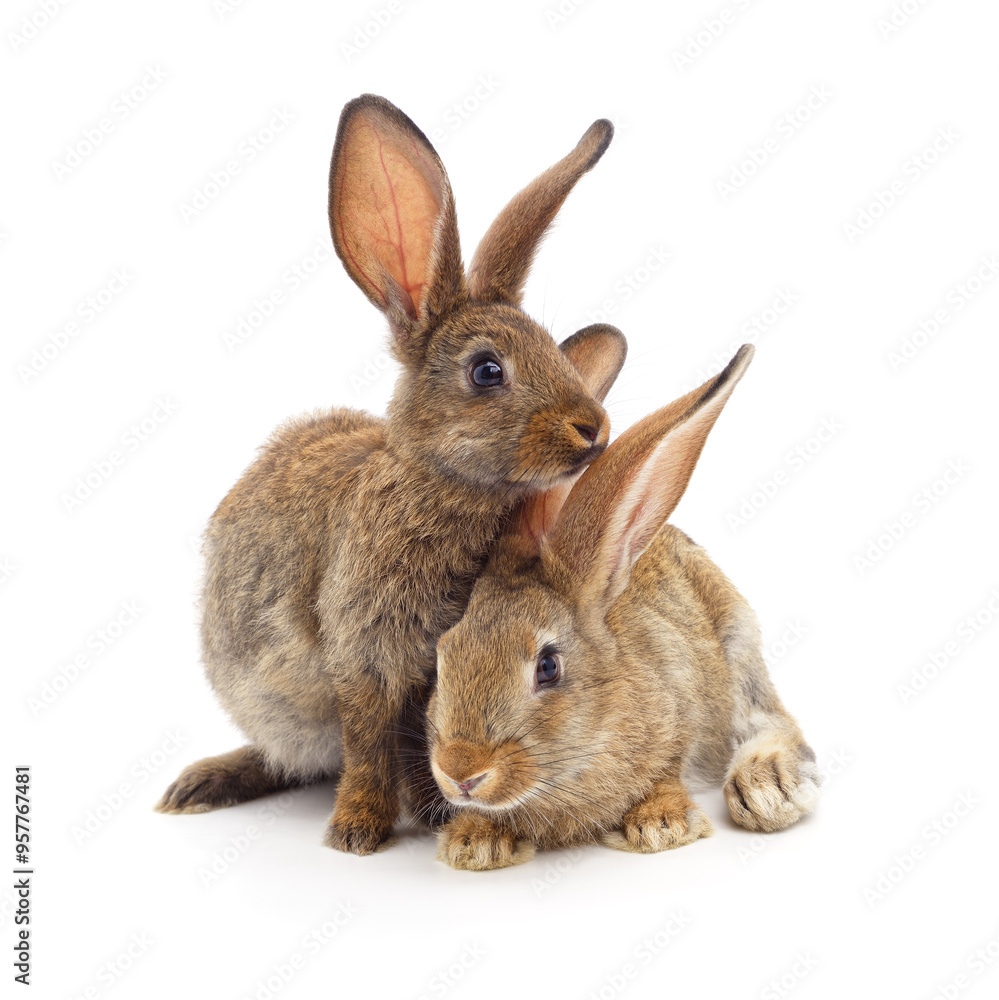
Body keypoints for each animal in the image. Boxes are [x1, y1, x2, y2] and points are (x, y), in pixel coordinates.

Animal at [155, 94, 629, 855]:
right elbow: (368, 740)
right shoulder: (365, 658)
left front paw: (434, 813)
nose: (594, 428)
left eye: (556, 351)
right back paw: (203, 785)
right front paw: (357, 832)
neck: (439, 486)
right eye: (487, 370)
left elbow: (412, 739)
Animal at [425, 344, 821, 870]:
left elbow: (670, 771)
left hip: (739, 642)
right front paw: (474, 842)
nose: (461, 772)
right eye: (442, 655)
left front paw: (660, 825)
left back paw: (767, 788)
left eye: (548, 667)